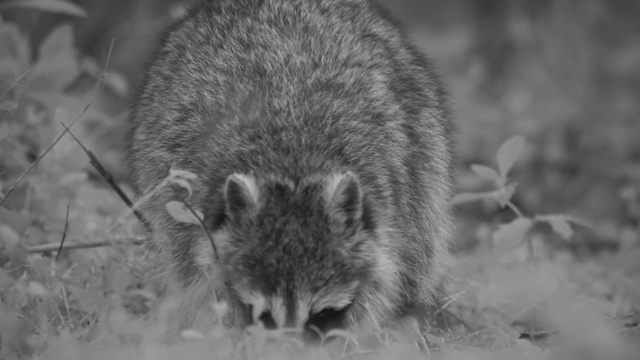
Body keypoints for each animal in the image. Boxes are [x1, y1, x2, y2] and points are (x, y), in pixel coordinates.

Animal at [126, 0, 456, 344]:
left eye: (322, 314)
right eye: (262, 314)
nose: (290, 349)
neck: (293, 169)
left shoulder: (387, 192)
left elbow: (384, 271)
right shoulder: (191, 200)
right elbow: (197, 273)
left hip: (425, 144)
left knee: (423, 239)